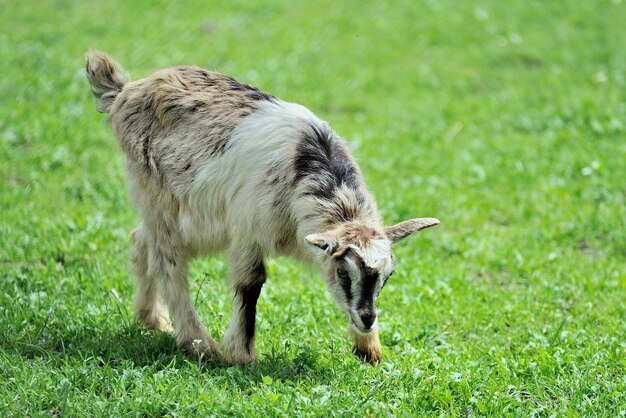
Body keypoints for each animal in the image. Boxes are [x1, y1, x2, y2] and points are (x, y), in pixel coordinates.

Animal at [86, 50, 438, 366]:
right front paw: (242, 353)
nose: (367, 320)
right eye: (343, 272)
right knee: (168, 261)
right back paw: (200, 344)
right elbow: (251, 284)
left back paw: (152, 319)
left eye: (388, 275)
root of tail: (125, 92)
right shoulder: (248, 231)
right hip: (159, 194)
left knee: (141, 240)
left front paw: (369, 349)